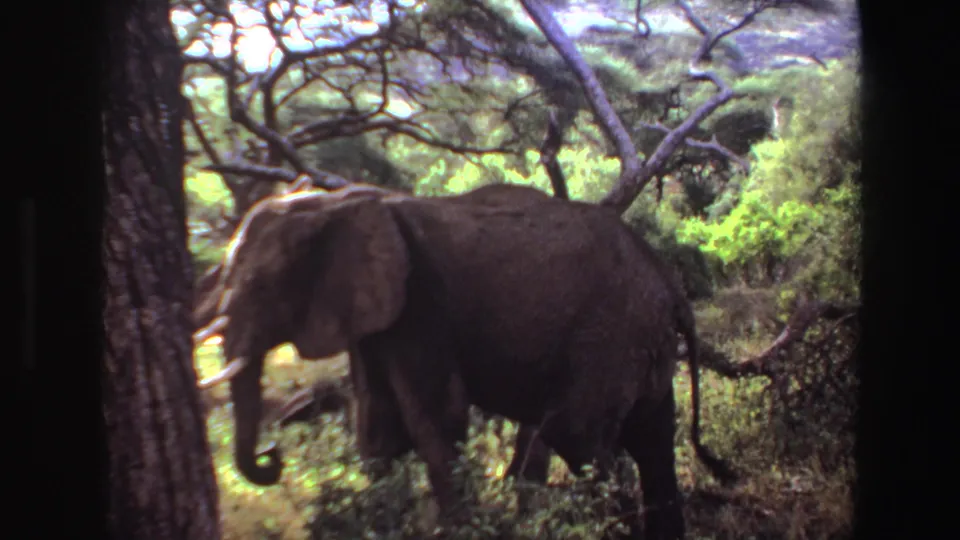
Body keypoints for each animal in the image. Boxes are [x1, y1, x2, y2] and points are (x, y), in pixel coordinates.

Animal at [193, 182, 737, 539]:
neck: (337, 202)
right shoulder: (378, 315)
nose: (273, 457)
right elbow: (377, 428)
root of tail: (671, 287)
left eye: (262, 287)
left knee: (579, 437)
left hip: (612, 330)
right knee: (651, 440)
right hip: (642, 339)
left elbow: (436, 422)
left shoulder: (421, 301)